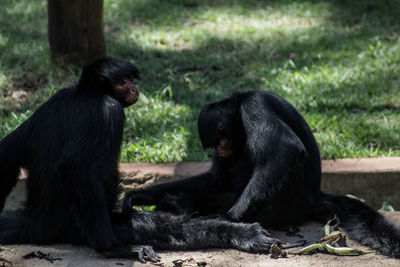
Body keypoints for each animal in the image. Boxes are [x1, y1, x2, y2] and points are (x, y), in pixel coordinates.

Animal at [126, 90, 400, 260]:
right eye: (215, 144)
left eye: (222, 135)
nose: (221, 148)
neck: (240, 102)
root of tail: (313, 199)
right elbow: (216, 178)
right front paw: (143, 195)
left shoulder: (254, 105)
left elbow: (285, 150)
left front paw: (232, 219)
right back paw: (176, 203)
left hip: (289, 203)